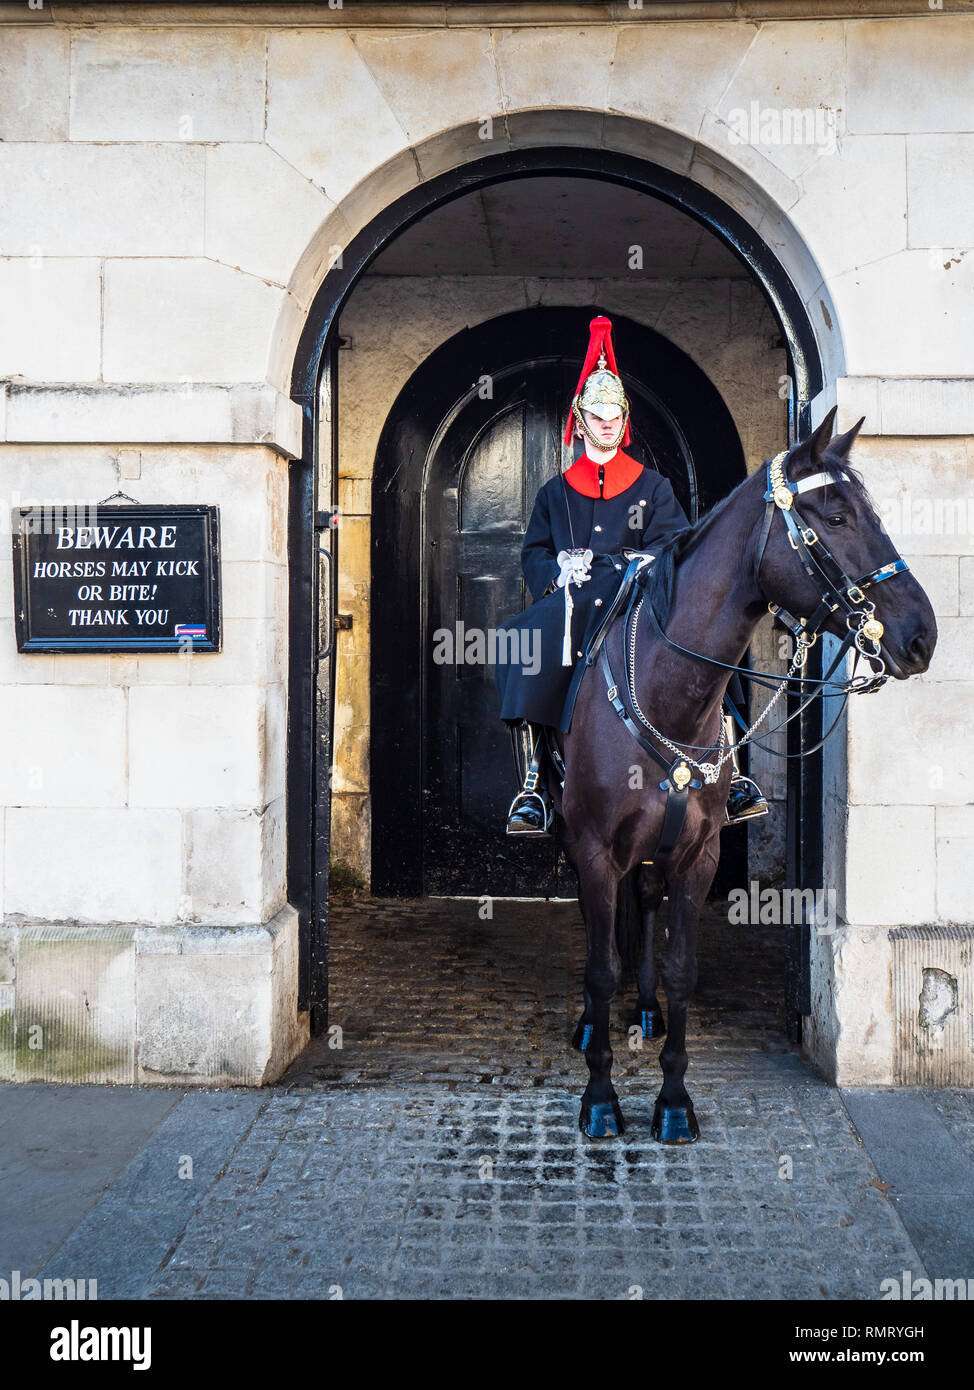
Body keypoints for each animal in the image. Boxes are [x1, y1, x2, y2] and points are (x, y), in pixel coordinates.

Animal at [547, 408, 933, 1139]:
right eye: (836, 516)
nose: (921, 636)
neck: (671, 692)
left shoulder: (697, 855)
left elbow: (681, 969)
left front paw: (673, 1101)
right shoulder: (594, 849)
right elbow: (599, 968)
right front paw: (600, 1097)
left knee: (643, 908)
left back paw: (645, 1008)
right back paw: (591, 1023)